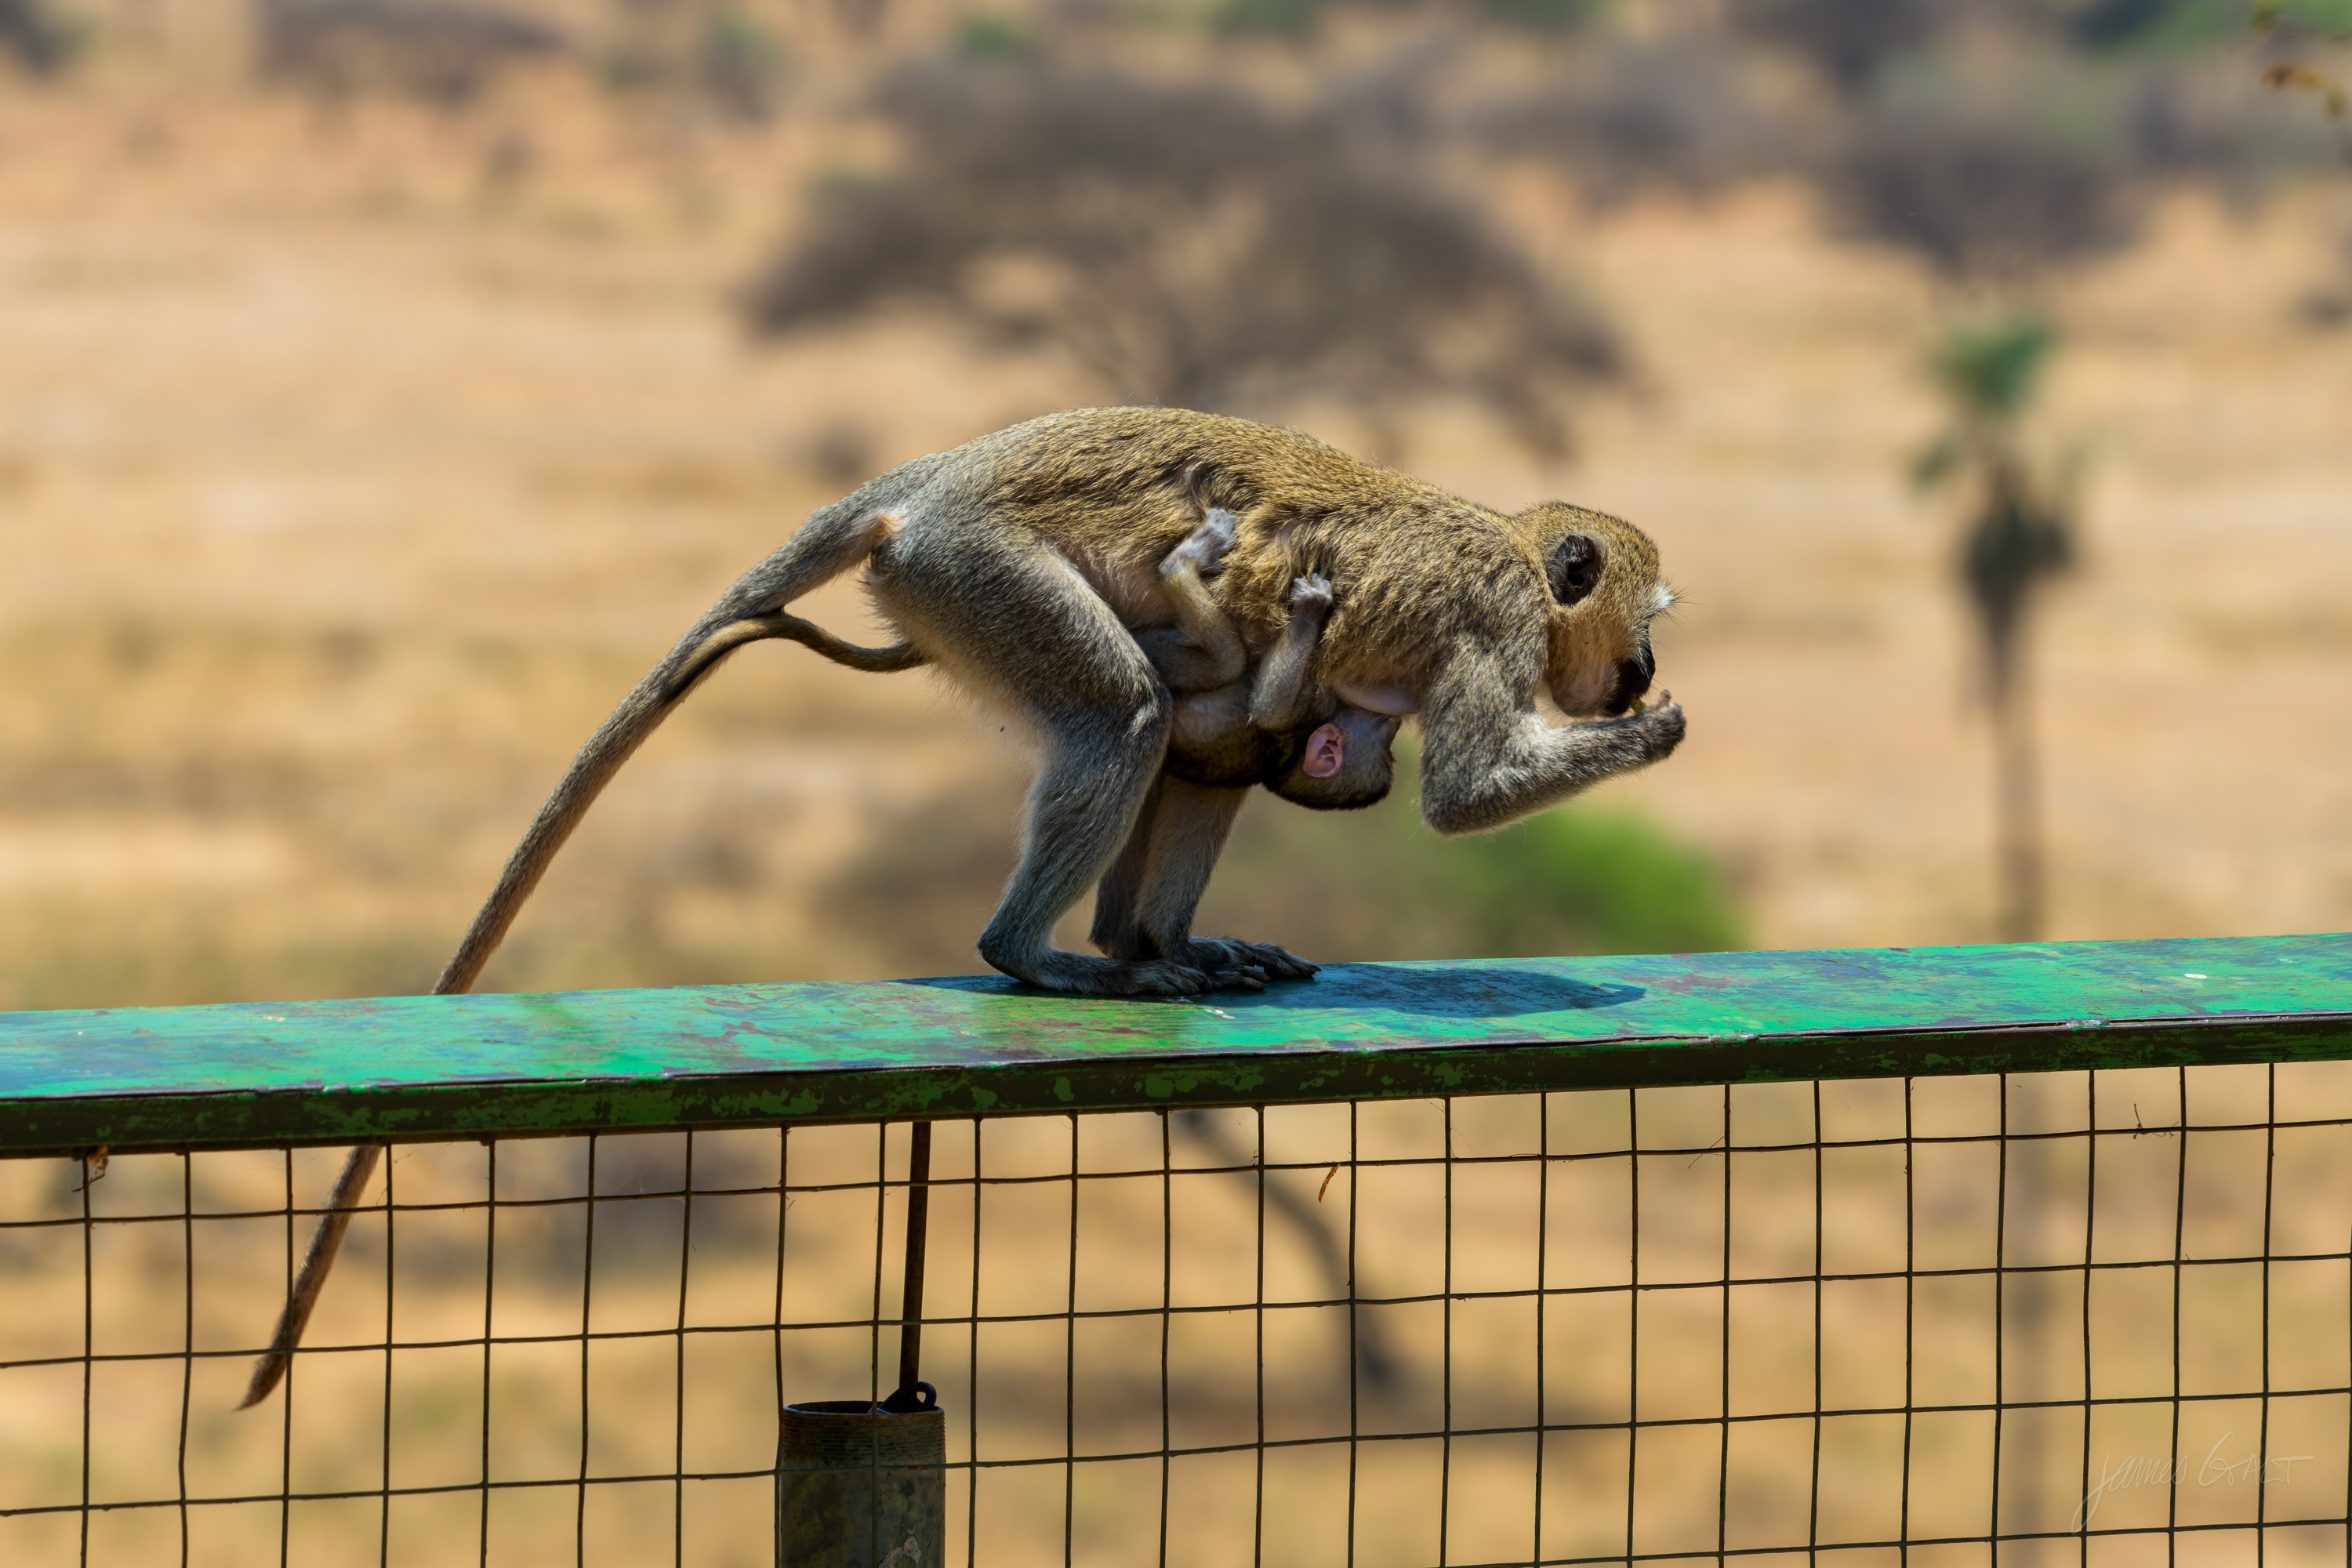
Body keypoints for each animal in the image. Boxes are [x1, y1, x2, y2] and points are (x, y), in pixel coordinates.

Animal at [240, 406, 1685, 1410]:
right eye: (1643, 623)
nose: (1642, 670)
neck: (1508, 547)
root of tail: (936, 478)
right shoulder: (1492, 622)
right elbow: (1463, 794)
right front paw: (1656, 735)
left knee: (1192, 748)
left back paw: (1147, 945)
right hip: (978, 575)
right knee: (1128, 714)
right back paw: (1047, 954)